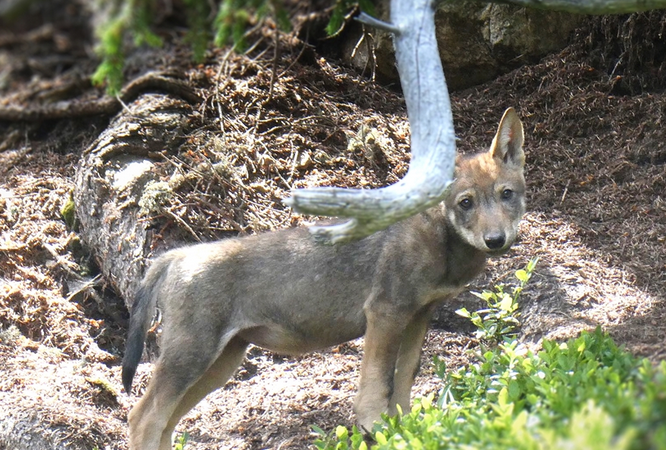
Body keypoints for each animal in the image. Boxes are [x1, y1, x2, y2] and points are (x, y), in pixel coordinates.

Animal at [122, 107, 526, 450]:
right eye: (466, 203)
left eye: (507, 195)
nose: (496, 240)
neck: (440, 240)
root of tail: (178, 255)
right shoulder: (385, 314)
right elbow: (376, 387)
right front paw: (380, 432)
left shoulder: (418, 317)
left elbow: (403, 384)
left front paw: (408, 432)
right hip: (192, 358)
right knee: (142, 418)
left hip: (220, 364)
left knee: (165, 424)